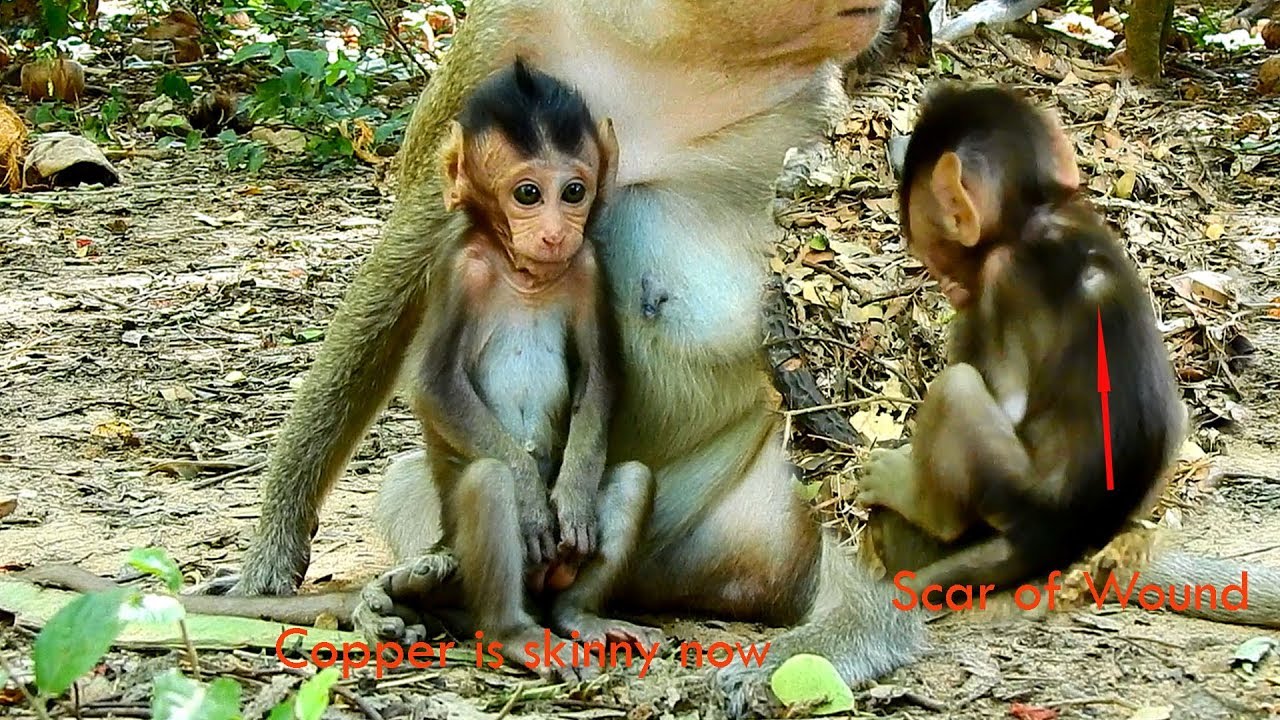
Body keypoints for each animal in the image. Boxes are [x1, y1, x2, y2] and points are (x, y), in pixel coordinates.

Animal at [856, 84, 1185, 598]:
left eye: (930, 255)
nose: (949, 289)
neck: (1036, 211)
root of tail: (1061, 532)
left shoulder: (1001, 276)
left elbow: (1007, 398)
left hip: (1009, 491)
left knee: (956, 389)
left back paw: (920, 503)